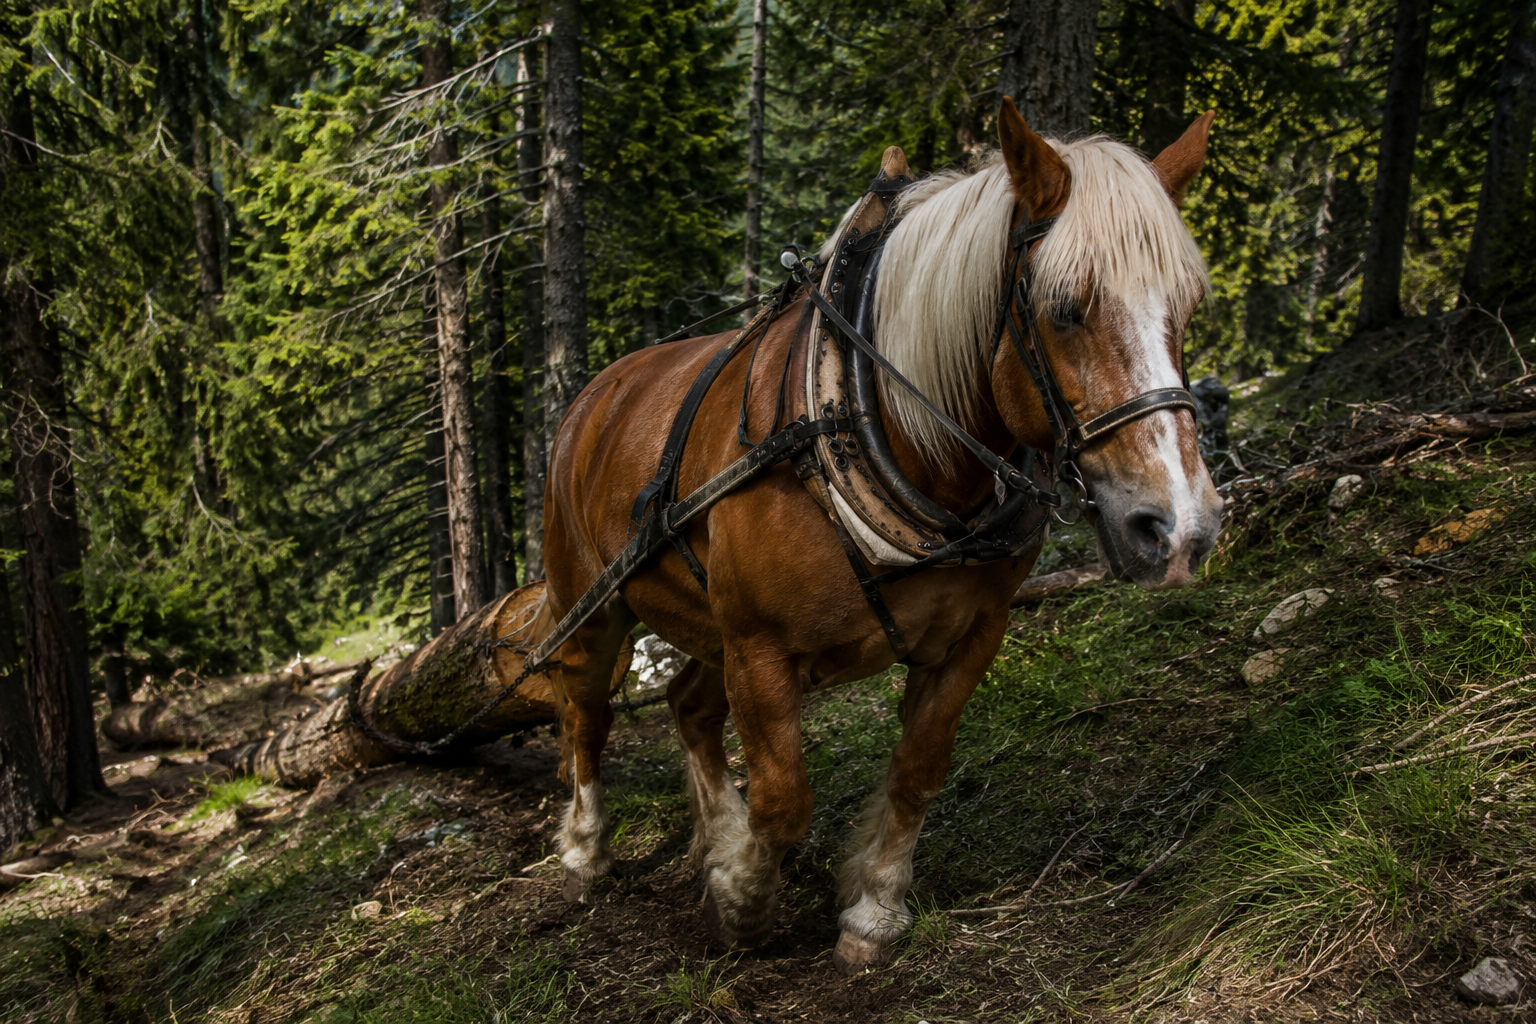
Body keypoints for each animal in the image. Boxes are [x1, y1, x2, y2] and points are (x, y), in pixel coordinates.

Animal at [539, 97, 1223, 972]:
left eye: (1186, 310)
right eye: (1066, 308)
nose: (1177, 527)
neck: (872, 425)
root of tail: (598, 391)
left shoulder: (972, 637)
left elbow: (919, 769)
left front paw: (870, 905)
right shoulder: (759, 649)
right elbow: (784, 798)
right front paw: (743, 901)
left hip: (704, 625)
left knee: (688, 706)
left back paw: (716, 835)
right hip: (595, 610)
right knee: (585, 713)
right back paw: (587, 847)